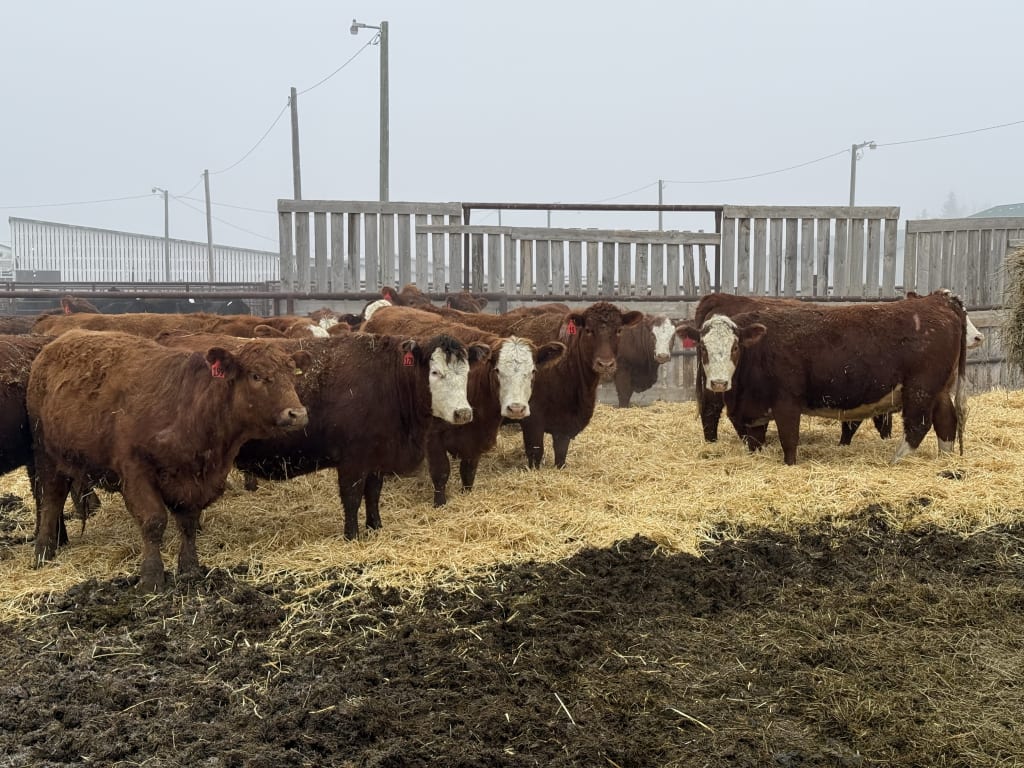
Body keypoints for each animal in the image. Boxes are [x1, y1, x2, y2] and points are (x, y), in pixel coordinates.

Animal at [28, 329, 311, 591]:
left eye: (291, 375)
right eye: (256, 376)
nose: (297, 414)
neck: (189, 410)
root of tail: (60, 341)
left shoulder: (197, 480)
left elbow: (188, 523)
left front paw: (190, 567)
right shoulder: (136, 471)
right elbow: (154, 521)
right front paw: (151, 577)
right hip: (47, 455)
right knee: (51, 500)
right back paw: (43, 551)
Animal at [363, 305, 566, 504]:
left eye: (533, 371)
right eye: (497, 370)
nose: (516, 408)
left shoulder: (475, 436)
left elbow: (468, 471)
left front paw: (466, 493)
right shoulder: (433, 436)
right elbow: (441, 472)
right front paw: (440, 504)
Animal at [676, 290, 968, 465]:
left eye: (735, 347)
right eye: (703, 347)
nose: (719, 383)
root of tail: (936, 301)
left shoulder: (787, 404)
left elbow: (789, 442)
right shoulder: (755, 412)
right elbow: (754, 443)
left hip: (920, 389)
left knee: (918, 426)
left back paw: (895, 461)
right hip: (938, 390)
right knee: (946, 421)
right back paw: (945, 459)